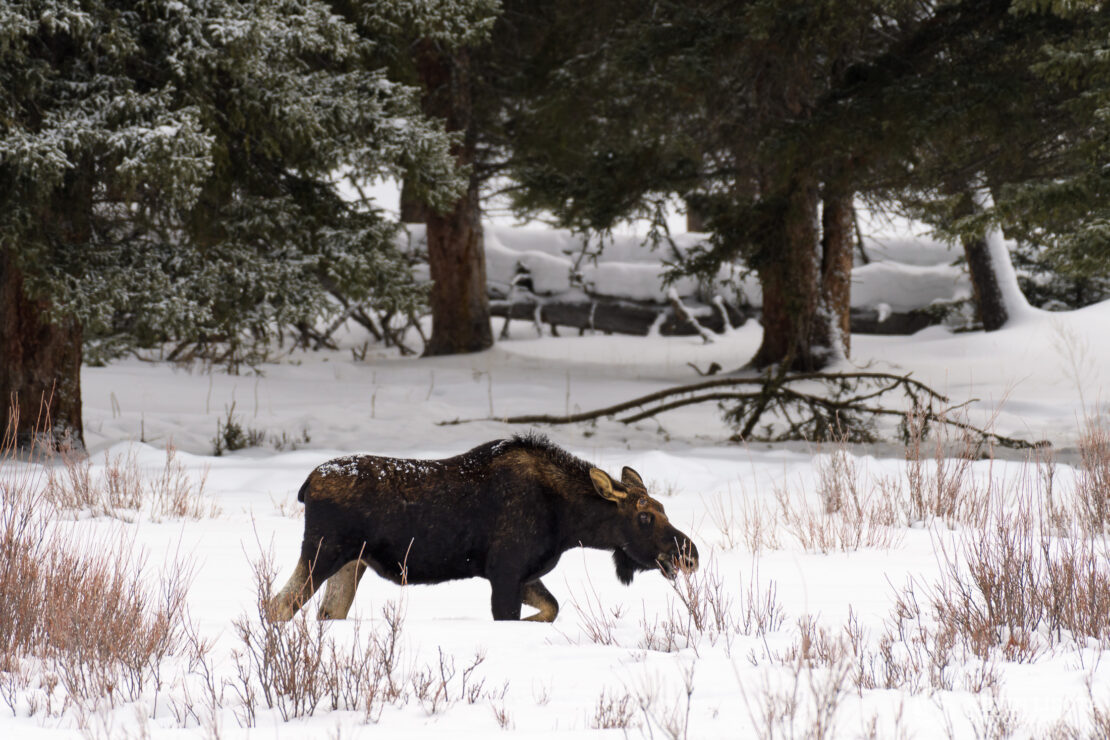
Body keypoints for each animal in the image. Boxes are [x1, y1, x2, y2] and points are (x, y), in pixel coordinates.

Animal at [268, 434, 697, 625]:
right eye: (645, 516)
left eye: (663, 509)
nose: (690, 555)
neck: (568, 523)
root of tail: (307, 485)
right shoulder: (505, 572)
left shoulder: (524, 574)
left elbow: (552, 608)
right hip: (323, 551)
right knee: (278, 606)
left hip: (351, 562)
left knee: (325, 612)